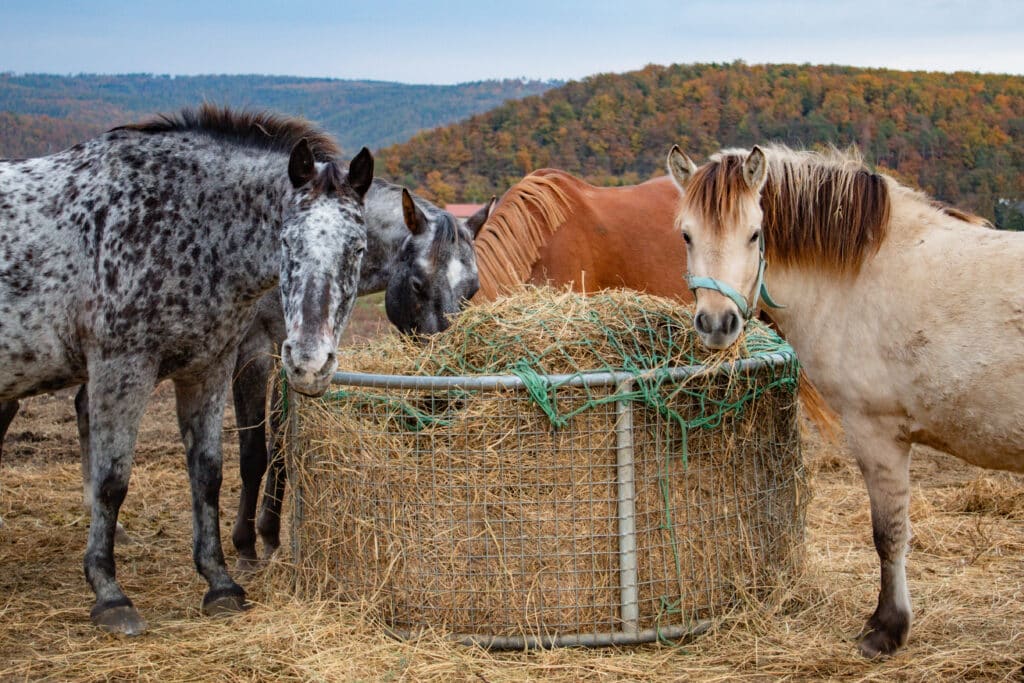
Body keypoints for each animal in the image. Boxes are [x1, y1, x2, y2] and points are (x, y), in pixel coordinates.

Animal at [0, 103, 373, 636]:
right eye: (285, 241)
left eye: (358, 249)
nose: (308, 362)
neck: (181, 224)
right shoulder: (122, 368)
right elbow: (111, 480)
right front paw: (110, 594)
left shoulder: (208, 369)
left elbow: (208, 473)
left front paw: (220, 583)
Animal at [665, 142, 1024, 657]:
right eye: (687, 235)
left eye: (754, 234)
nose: (717, 324)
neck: (865, 272)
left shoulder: (876, 433)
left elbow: (888, 535)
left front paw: (887, 628)